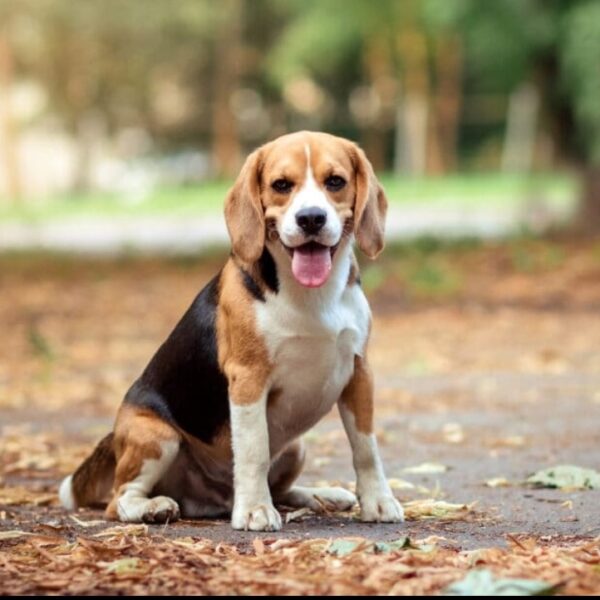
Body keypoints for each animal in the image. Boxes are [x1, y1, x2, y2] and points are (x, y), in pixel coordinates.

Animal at [59, 130, 404, 528]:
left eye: (335, 182)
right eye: (281, 185)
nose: (311, 219)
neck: (312, 296)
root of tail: (213, 499)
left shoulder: (359, 372)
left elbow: (366, 448)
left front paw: (378, 501)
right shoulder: (248, 379)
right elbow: (254, 451)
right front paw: (254, 509)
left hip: (296, 447)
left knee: (283, 490)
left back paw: (321, 495)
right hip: (156, 436)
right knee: (118, 499)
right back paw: (155, 506)